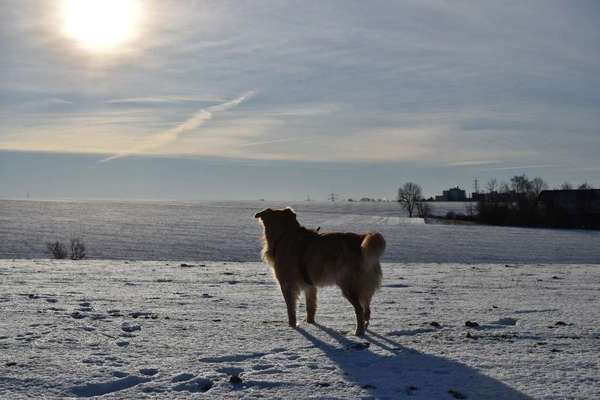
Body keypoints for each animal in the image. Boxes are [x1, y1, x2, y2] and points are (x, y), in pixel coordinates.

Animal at [253, 208, 384, 336]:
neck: (285, 234)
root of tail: (361, 239)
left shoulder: (287, 285)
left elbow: (291, 309)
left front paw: (292, 326)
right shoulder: (310, 285)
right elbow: (311, 306)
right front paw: (310, 323)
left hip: (350, 287)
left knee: (360, 310)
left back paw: (358, 332)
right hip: (364, 289)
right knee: (367, 310)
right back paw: (365, 329)